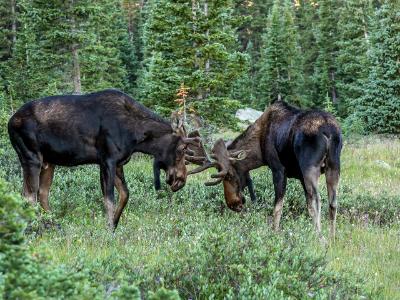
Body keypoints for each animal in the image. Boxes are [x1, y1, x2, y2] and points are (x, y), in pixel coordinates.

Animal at [7, 89, 198, 230]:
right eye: (182, 148)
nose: (181, 179)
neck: (136, 136)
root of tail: (10, 122)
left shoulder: (119, 163)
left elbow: (125, 194)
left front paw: (113, 225)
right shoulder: (107, 160)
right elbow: (109, 199)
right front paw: (108, 230)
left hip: (49, 162)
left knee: (42, 194)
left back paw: (54, 226)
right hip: (31, 157)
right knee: (29, 195)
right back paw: (36, 228)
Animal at [192, 101, 342, 239]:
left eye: (228, 175)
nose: (233, 205)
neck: (259, 150)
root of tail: (328, 131)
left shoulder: (278, 169)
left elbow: (278, 206)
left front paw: (274, 233)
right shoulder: (299, 176)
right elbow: (307, 205)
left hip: (310, 167)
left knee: (318, 200)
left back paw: (320, 238)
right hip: (334, 166)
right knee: (332, 202)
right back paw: (332, 238)